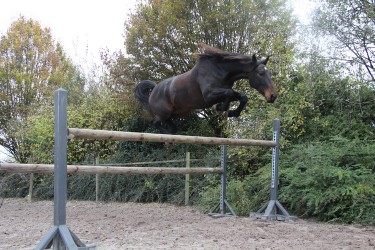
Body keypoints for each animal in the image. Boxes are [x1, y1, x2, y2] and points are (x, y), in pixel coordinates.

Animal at [135, 44, 276, 133]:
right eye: (261, 73)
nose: (273, 95)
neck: (220, 70)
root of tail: (154, 90)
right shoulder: (209, 96)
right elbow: (229, 93)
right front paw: (220, 108)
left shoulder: (222, 91)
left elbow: (242, 96)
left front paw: (231, 112)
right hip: (164, 113)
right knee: (154, 122)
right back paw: (166, 134)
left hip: (177, 112)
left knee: (168, 124)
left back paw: (171, 132)